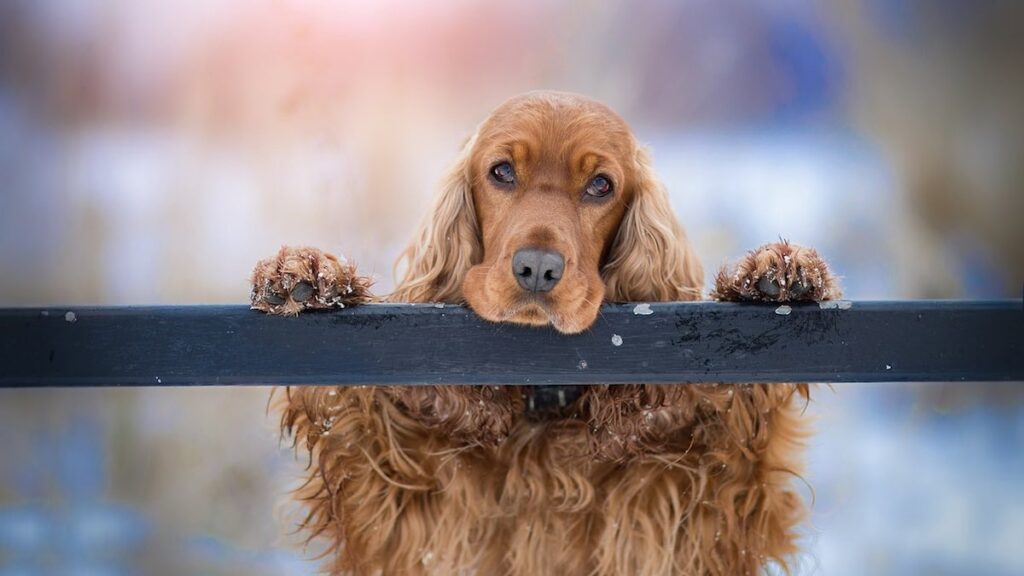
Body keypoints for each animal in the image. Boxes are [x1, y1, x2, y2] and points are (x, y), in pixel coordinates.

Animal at [249, 91, 839, 569]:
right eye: (502, 172)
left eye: (601, 185)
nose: (537, 268)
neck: (543, 404)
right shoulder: (396, 500)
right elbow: (351, 412)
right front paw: (307, 275)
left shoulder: (702, 504)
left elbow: (743, 434)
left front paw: (774, 273)